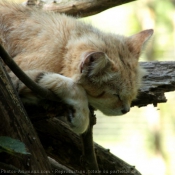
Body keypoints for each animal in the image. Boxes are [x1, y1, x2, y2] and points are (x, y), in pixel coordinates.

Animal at [0, 1, 153, 134]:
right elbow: (74, 86)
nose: (126, 110)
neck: (64, 47)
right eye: (116, 95)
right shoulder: (15, 75)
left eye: (132, 95)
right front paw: (81, 117)